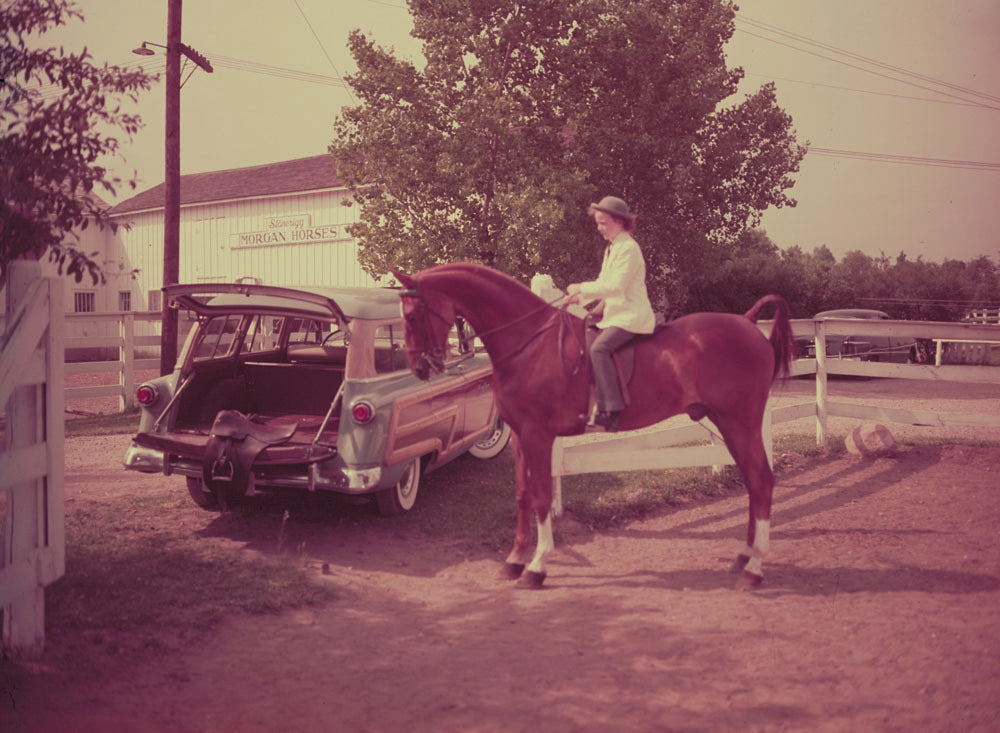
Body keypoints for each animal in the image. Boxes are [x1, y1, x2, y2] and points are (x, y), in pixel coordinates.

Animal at [394, 260, 792, 588]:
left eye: (410, 316)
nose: (419, 368)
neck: (529, 343)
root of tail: (747, 320)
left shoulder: (538, 436)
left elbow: (540, 497)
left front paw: (537, 566)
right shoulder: (521, 437)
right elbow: (522, 495)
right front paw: (514, 561)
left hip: (741, 423)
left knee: (762, 481)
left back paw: (755, 568)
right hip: (727, 423)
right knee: (753, 482)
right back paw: (745, 556)